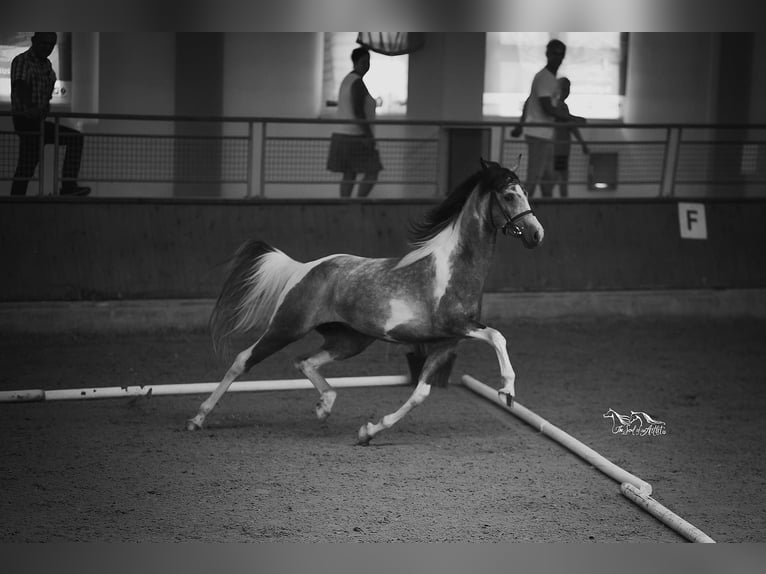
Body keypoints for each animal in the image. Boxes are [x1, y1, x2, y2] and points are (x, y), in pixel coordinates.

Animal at [186, 158, 544, 445]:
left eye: (526, 192)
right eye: (509, 194)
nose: (536, 234)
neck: (455, 268)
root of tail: (304, 268)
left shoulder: (446, 342)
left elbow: (420, 394)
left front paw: (368, 431)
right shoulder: (459, 326)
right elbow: (498, 336)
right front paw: (507, 391)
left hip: (349, 340)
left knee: (305, 362)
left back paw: (325, 406)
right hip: (287, 327)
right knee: (243, 360)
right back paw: (198, 418)